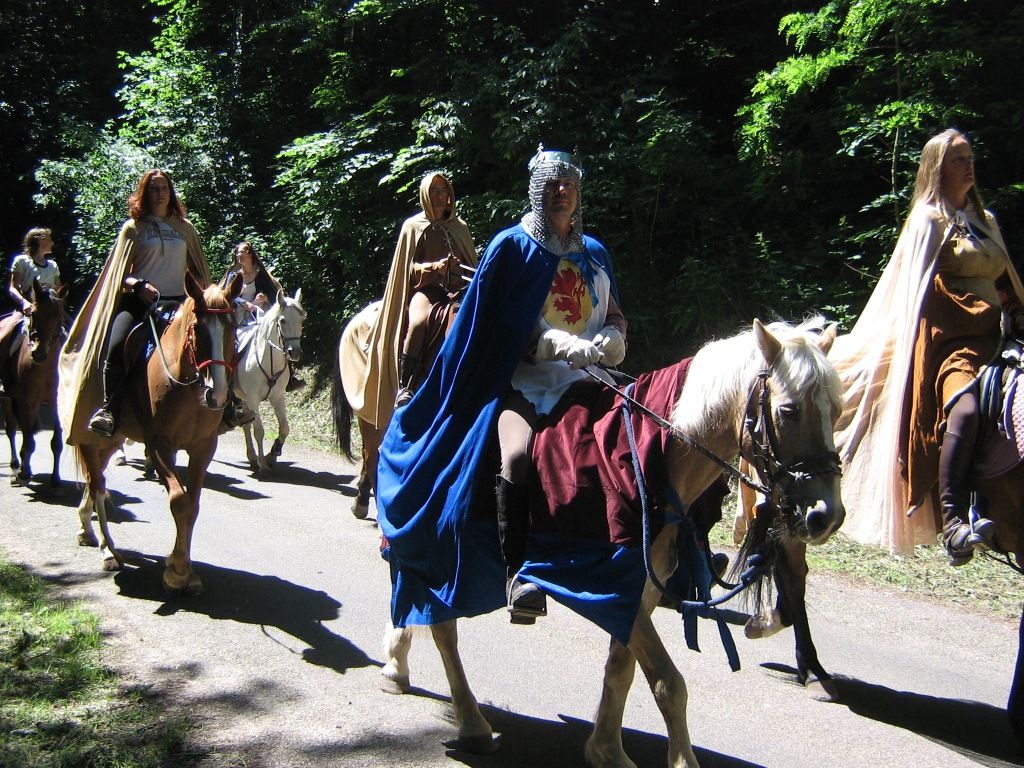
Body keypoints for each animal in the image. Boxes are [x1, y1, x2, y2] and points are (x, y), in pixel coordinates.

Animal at [0, 278, 68, 491]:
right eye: (33, 313)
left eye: (57, 317)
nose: (38, 353)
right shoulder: (26, 402)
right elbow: (28, 442)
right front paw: (23, 474)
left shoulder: (55, 404)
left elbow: (57, 443)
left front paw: (56, 480)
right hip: (8, 400)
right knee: (12, 431)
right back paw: (16, 468)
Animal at [72, 272, 242, 594]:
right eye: (197, 329)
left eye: (233, 329)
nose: (217, 395)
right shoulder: (160, 445)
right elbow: (179, 501)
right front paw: (177, 572)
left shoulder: (204, 448)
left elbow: (193, 505)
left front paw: (184, 568)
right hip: (90, 439)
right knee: (97, 485)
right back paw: (108, 550)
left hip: (113, 440)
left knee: (94, 480)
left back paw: (86, 529)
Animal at [231, 287, 306, 476]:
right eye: (283, 320)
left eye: (302, 319)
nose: (294, 352)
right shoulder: (253, 398)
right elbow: (259, 431)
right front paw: (263, 464)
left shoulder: (277, 397)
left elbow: (285, 427)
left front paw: (273, 454)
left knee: (245, 425)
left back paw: (252, 458)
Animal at [377, 318, 846, 767]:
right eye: (788, 410)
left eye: (839, 411)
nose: (826, 515)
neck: (654, 462)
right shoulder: (611, 589)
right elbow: (669, 683)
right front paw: (678, 759)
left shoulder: (638, 592)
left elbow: (621, 670)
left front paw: (606, 751)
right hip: (435, 549)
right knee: (442, 629)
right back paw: (469, 721)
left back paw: (399, 666)